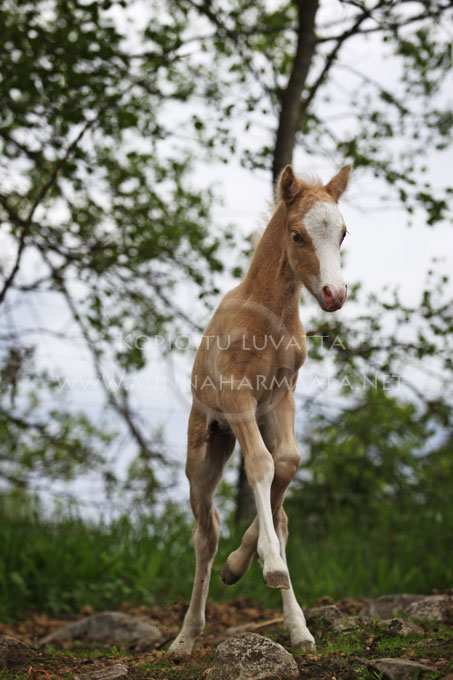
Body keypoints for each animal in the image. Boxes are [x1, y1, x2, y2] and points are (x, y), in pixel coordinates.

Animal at [168, 163, 352, 652]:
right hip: (205, 447)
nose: (335, 293)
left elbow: (284, 463)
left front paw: (245, 564)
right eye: (297, 235)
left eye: (343, 233)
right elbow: (260, 465)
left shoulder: (279, 398)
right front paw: (258, 564)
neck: (270, 314)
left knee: (281, 514)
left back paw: (299, 628)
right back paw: (186, 636)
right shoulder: (238, 395)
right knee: (205, 532)